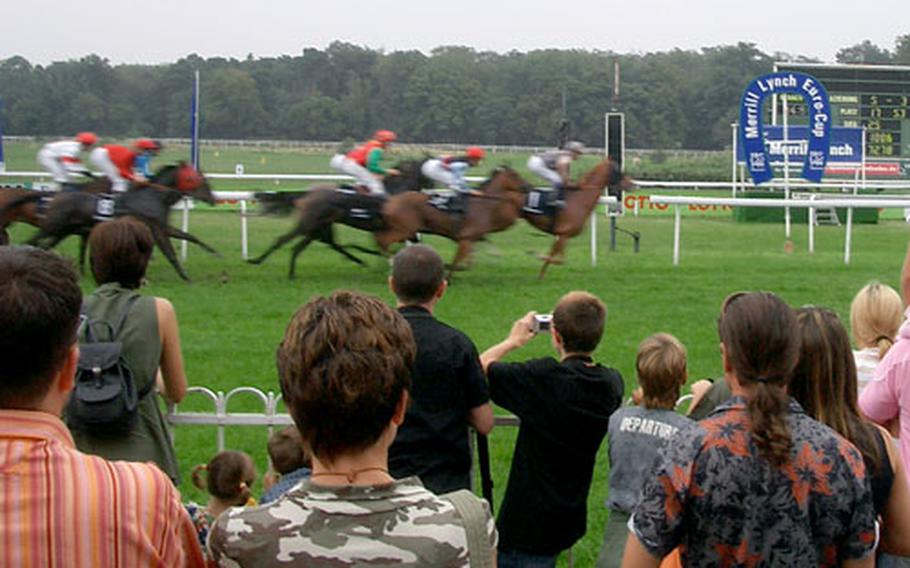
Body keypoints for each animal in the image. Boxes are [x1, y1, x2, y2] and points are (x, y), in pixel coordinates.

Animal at [0, 163, 219, 280]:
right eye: (200, 181)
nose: (213, 199)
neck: (152, 197)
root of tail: (56, 196)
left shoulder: (163, 227)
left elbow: (189, 236)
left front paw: (214, 252)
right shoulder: (157, 230)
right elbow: (170, 253)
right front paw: (186, 277)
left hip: (62, 230)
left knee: (41, 245)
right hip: (52, 227)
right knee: (32, 242)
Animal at [249, 165, 536, 278]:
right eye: (515, 175)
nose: (528, 187)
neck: (482, 203)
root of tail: (308, 193)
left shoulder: (468, 238)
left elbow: (467, 258)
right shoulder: (464, 237)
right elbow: (458, 261)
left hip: (320, 226)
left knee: (312, 244)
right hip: (313, 223)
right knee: (286, 239)